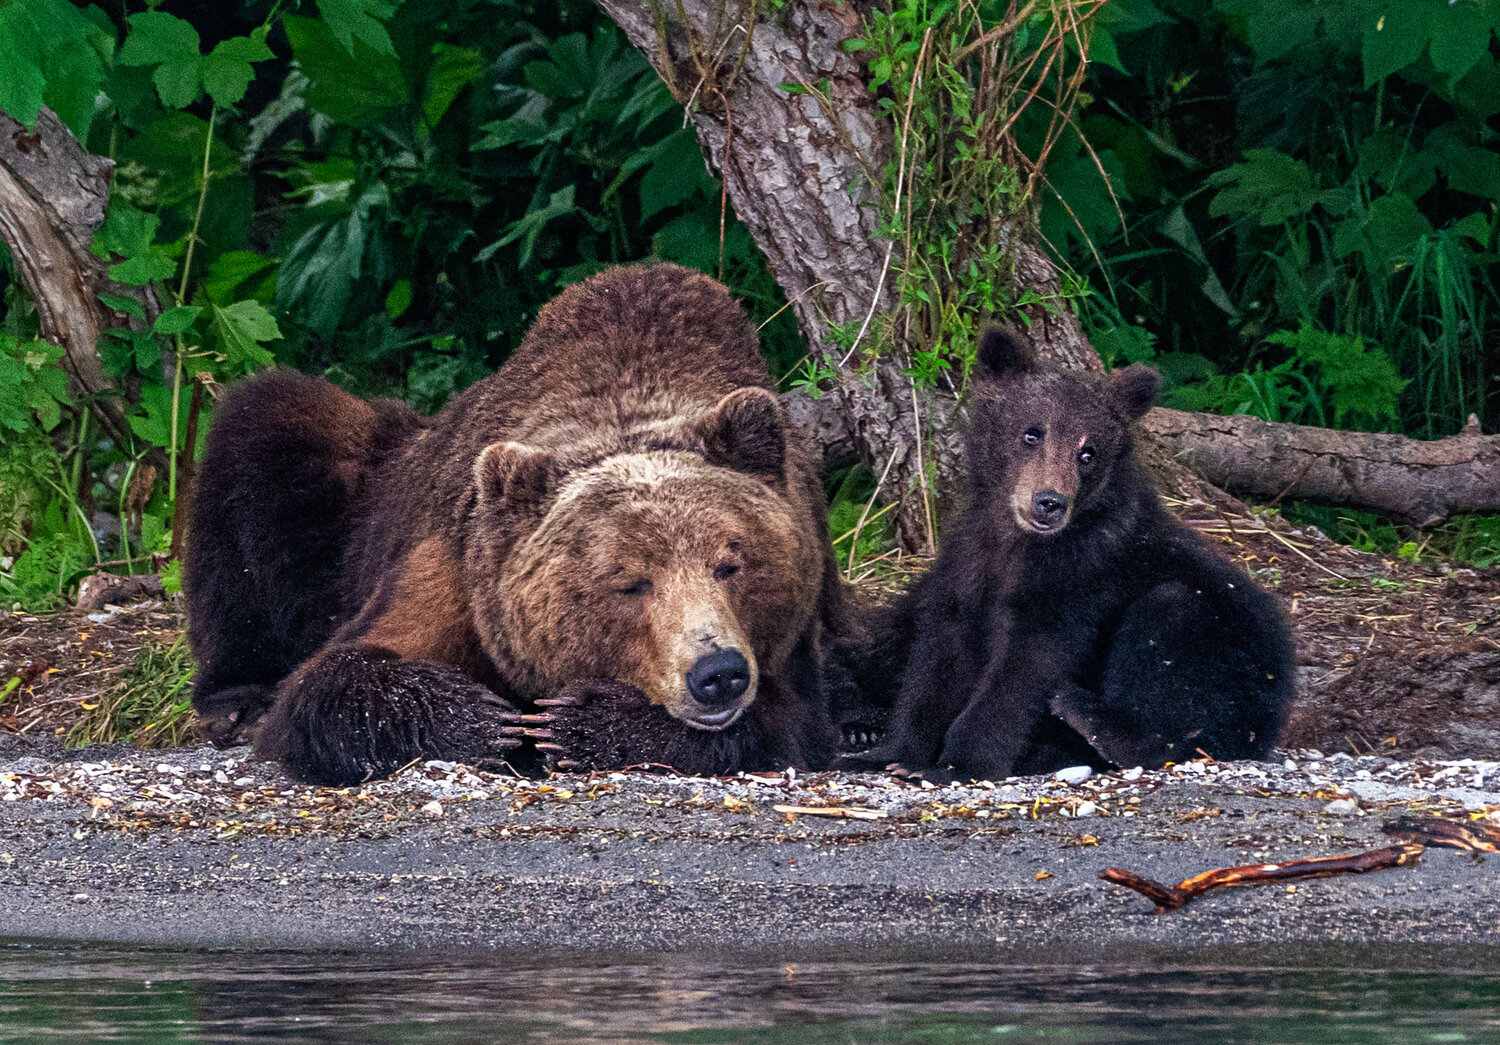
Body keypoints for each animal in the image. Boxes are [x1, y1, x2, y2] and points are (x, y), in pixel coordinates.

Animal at [184, 262, 845, 786]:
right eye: (631, 582)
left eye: (731, 564)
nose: (718, 673)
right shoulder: (460, 574)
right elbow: (329, 684)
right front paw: (482, 719)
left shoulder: (796, 620)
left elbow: (790, 726)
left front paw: (585, 721)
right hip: (360, 490)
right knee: (267, 424)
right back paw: (236, 700)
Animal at [840, 327, 1296, 783]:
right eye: (1031, 433)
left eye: (1088, 452)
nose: (1049, 502)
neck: (1017, 541)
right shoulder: (968, 565)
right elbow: (937, 662)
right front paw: (891, 753)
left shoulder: (1079, 575)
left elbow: (1025, 668)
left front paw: (958, 763)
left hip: (1237, 664)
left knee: (1174, 618)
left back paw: (1091, 717)